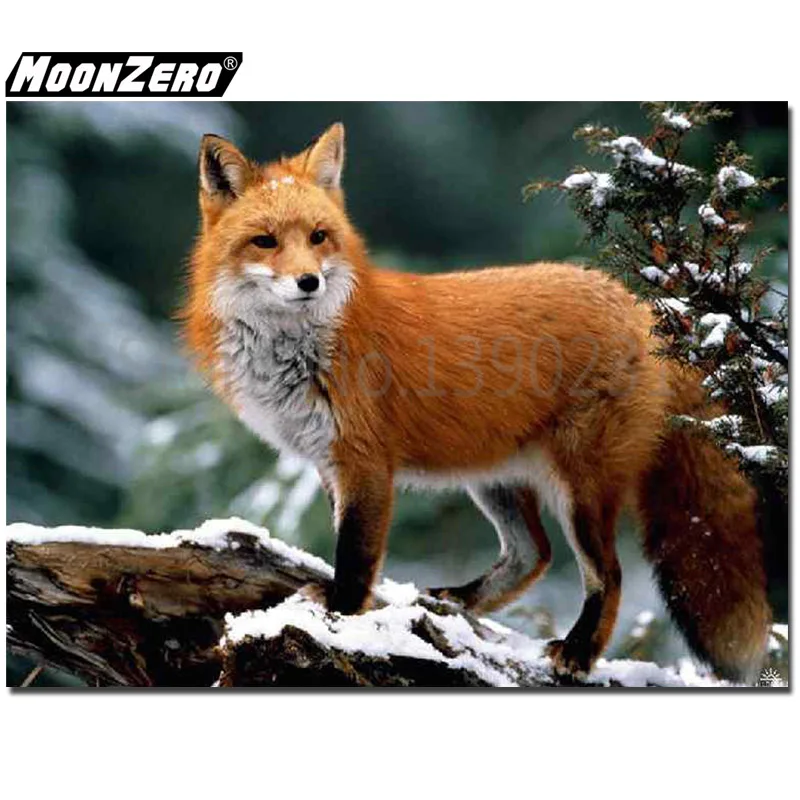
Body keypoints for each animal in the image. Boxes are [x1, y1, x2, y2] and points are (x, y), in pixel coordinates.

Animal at [182, 122, 771, 682]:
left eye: (318, 236)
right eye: (264, 241)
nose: (309, 281)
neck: (300, 350)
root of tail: (640, 304)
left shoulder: (365, 462)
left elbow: (355, 556)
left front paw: (341, 616)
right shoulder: (329, 463)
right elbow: (348, 547)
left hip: (580, 489)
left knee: (608, 573)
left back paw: (578, 652)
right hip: (494, 478)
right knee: (534, 554)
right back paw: (459, 602)